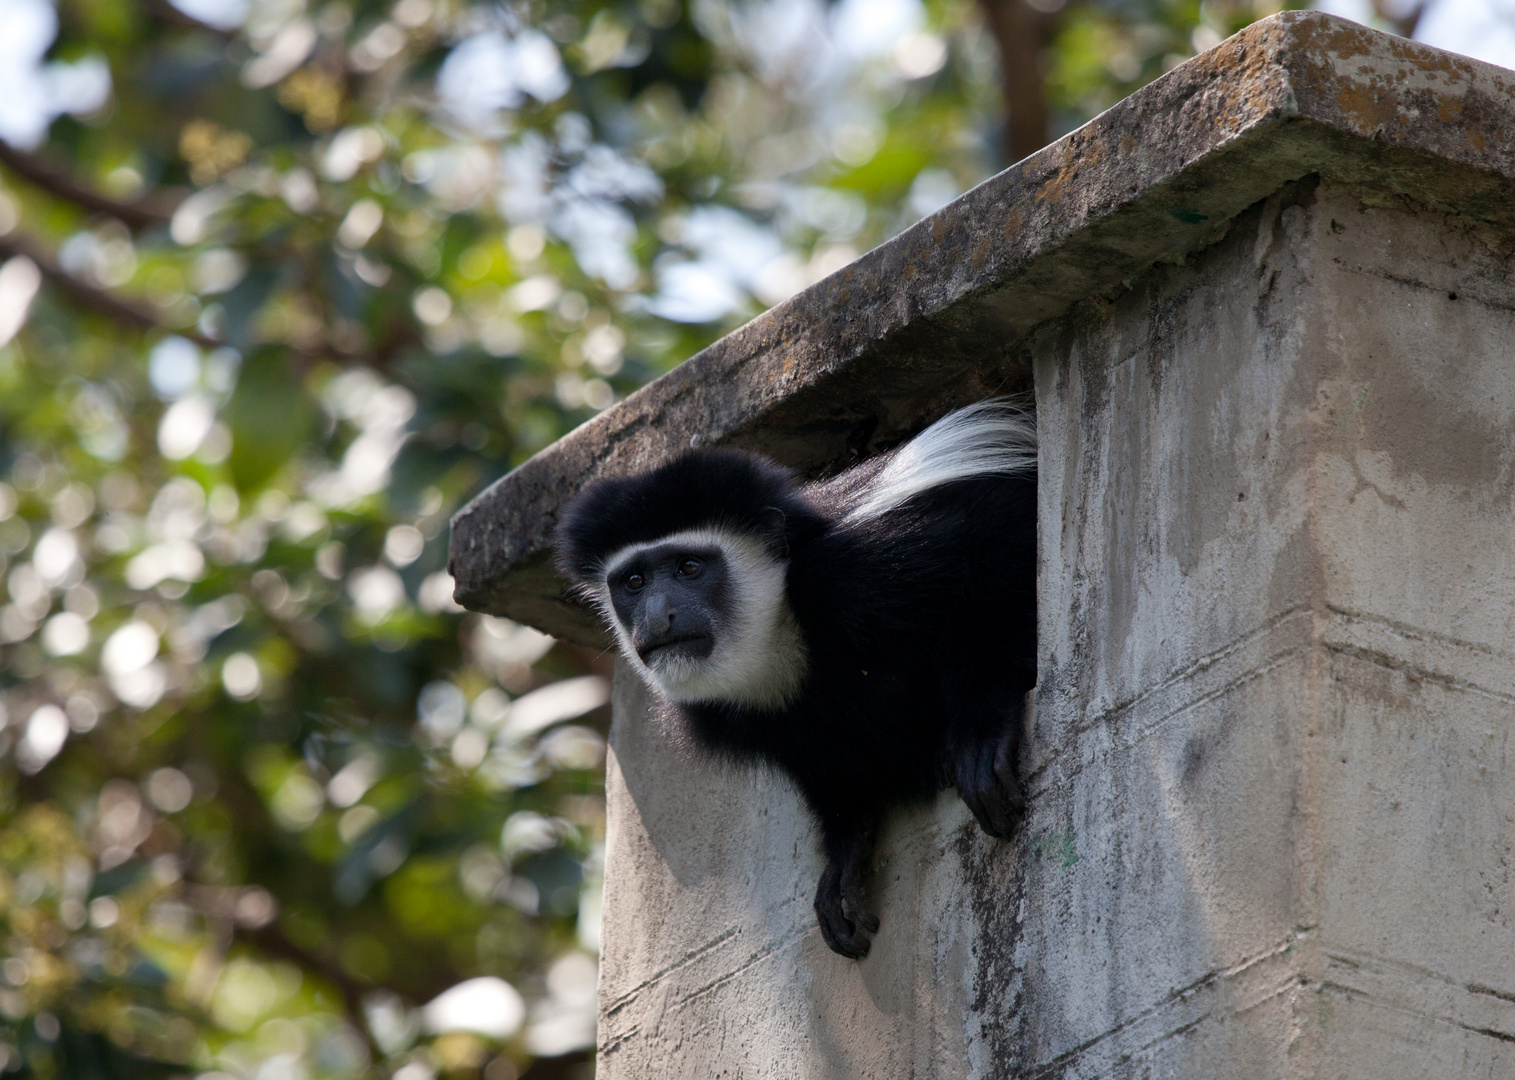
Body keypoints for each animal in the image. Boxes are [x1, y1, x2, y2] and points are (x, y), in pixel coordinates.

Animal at [557, 399, 1042, 957]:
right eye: (634, 581)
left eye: (689, 568)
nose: (658, 619)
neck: (781, 634)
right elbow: (832, 780)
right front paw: (843, 862)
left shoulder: (868, 566)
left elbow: (996, 559)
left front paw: (983, 733)